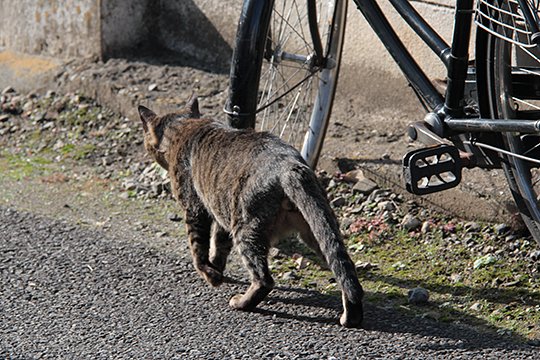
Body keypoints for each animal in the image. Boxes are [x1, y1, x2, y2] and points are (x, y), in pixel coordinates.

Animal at [137, 95, 364, 326]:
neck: (183, 126)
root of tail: (290, 167)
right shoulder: (221, 212)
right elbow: (219, 245)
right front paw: (217, 269)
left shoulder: (195, 209)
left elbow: (198, 250)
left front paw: (212, 276)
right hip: (316, 229)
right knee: (345, 270)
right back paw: (351, 315)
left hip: (246, 227)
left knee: (264, 279)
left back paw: (242, 302)